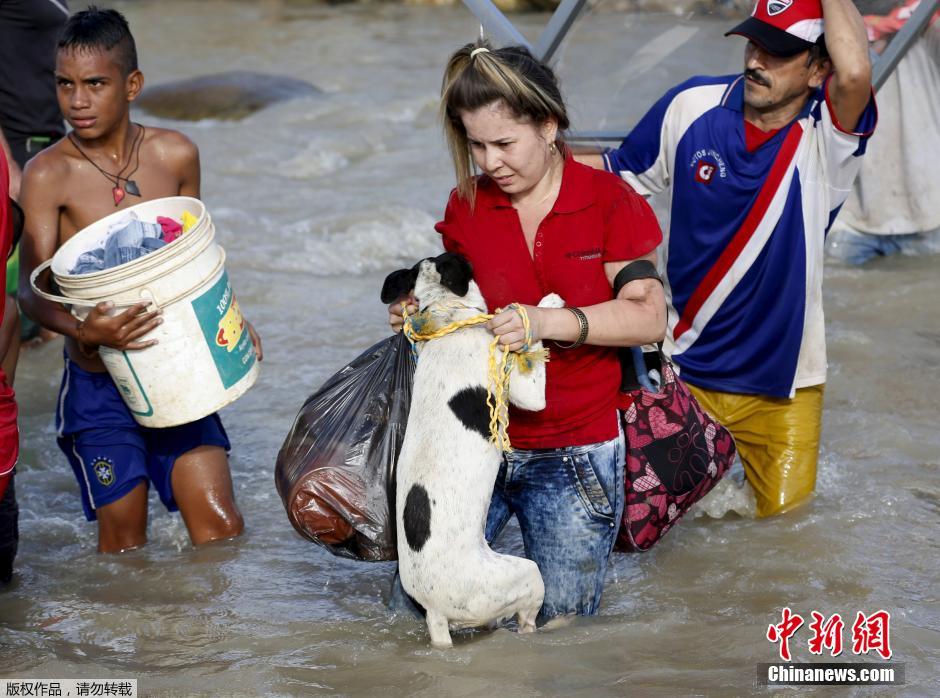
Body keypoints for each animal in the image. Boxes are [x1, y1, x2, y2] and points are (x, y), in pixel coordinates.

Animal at [380, 251, 560, 648]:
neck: (450, 318)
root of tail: (434, 612)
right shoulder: (526, 393)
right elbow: (533, 353)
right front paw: (548, 305)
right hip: (525, 575)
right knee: (526, 619)